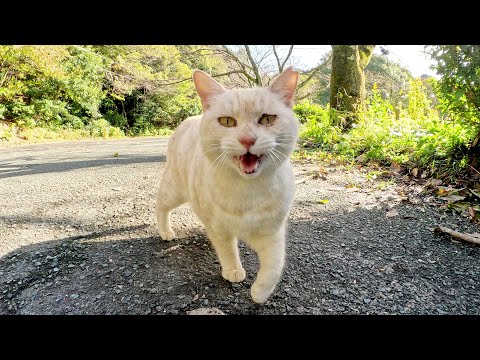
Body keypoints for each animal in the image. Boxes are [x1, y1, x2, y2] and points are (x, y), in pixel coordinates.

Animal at [158, 66, 298, 302]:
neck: (248, 191)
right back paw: (165, 231)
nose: (247, 139)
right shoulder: (219, 228)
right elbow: (227, 250)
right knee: (159, 204)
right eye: (227, 122)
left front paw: (259, 293)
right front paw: (233, 271)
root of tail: (189, 119)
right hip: (174, 189)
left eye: (267, 119)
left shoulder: (271, 233)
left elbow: (274, 266)